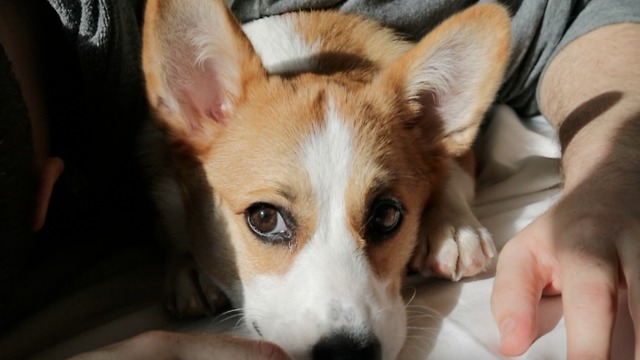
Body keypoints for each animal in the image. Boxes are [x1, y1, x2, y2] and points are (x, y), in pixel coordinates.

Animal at [141, 1, 510, 358]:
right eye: (264, 217)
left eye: (387, 215)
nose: (348, 353)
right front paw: (188, 266)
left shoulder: (462, 155)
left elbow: (450, 171)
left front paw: (454, 228)